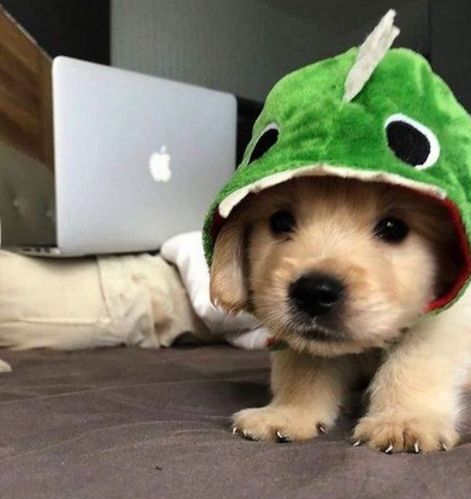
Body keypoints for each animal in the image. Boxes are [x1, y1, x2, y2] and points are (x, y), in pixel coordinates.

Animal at [211, 176, 471, 454]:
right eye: (280, 221)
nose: (314, 293)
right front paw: (288, 413)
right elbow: (301, 368)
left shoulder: (443, 319)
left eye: (393, 228)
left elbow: (412, 363)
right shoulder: (301, 340)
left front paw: (403, 420)